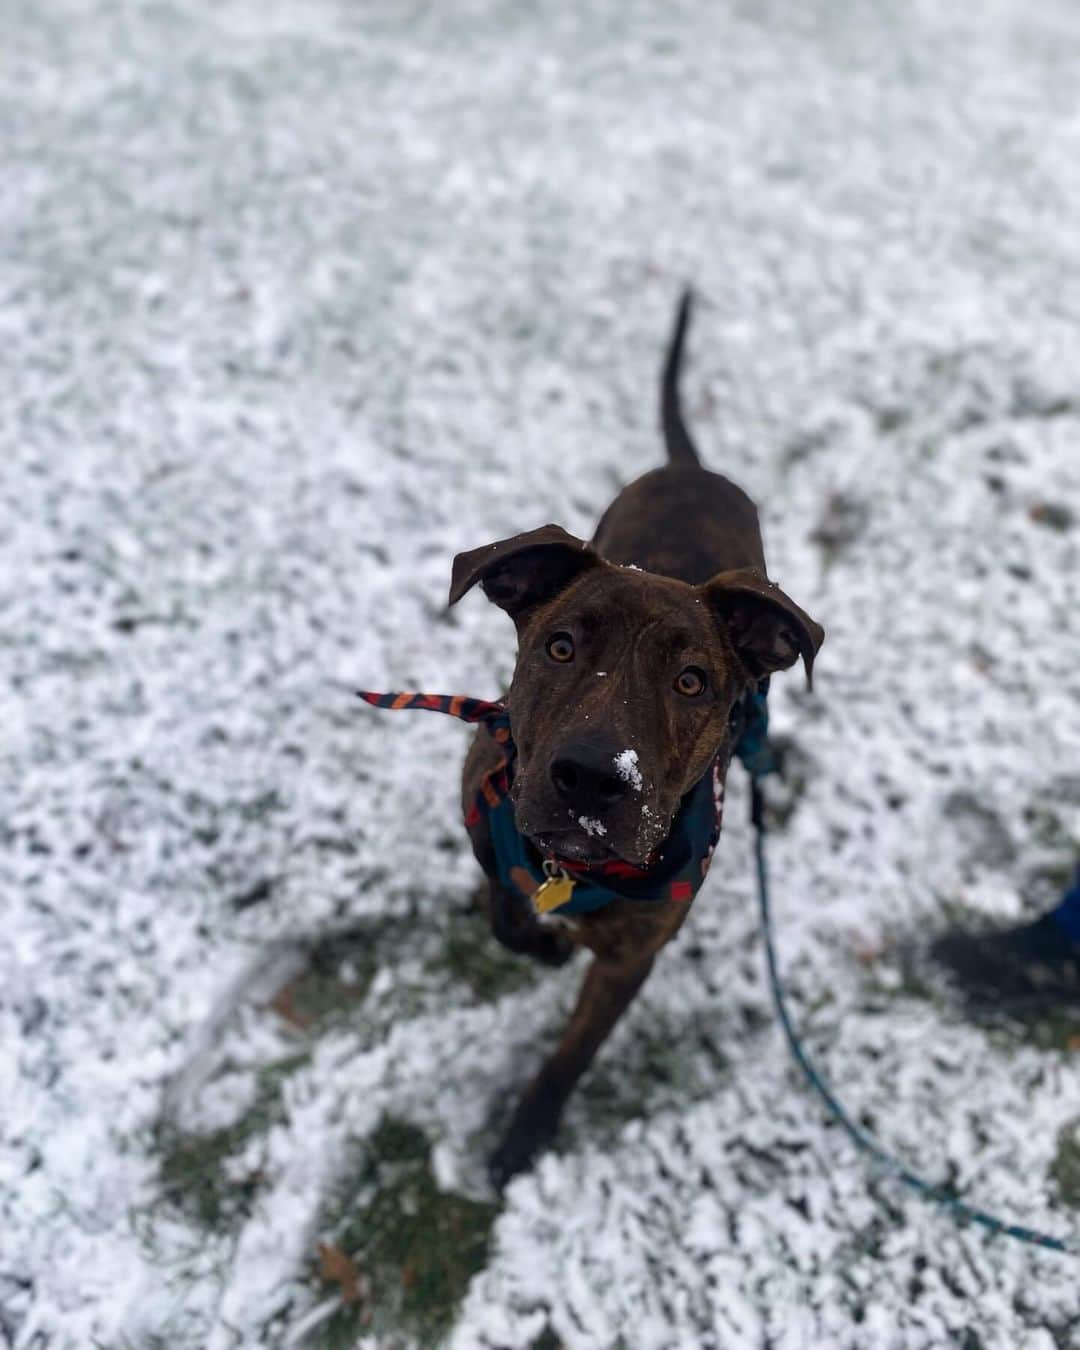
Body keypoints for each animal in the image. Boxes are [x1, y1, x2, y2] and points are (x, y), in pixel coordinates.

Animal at [448, 292, 826, 1182]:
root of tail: (693, 469)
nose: (591, 778)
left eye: (692, 682)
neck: (580, 871)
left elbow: (572, 1054)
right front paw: (540, 942)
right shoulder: (484, 804)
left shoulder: (632, 959)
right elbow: (503, 904)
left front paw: (523, 1138)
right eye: (559, 646)